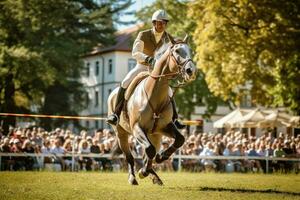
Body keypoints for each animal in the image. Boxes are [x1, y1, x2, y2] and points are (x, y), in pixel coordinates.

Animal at [107, 35, 197, 185]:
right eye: (177, 51)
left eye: (190, 51)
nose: (191, 71)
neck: (154, 94)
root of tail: (112, 94)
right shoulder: (137, 128)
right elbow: (149, 150)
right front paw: (143, 171)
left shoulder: (165, 126)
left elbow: (179, 140)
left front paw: (161, 157)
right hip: (121, 133)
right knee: (130, 156)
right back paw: (134, 177)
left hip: (155, 135)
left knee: (150, 151)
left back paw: (154, 175)